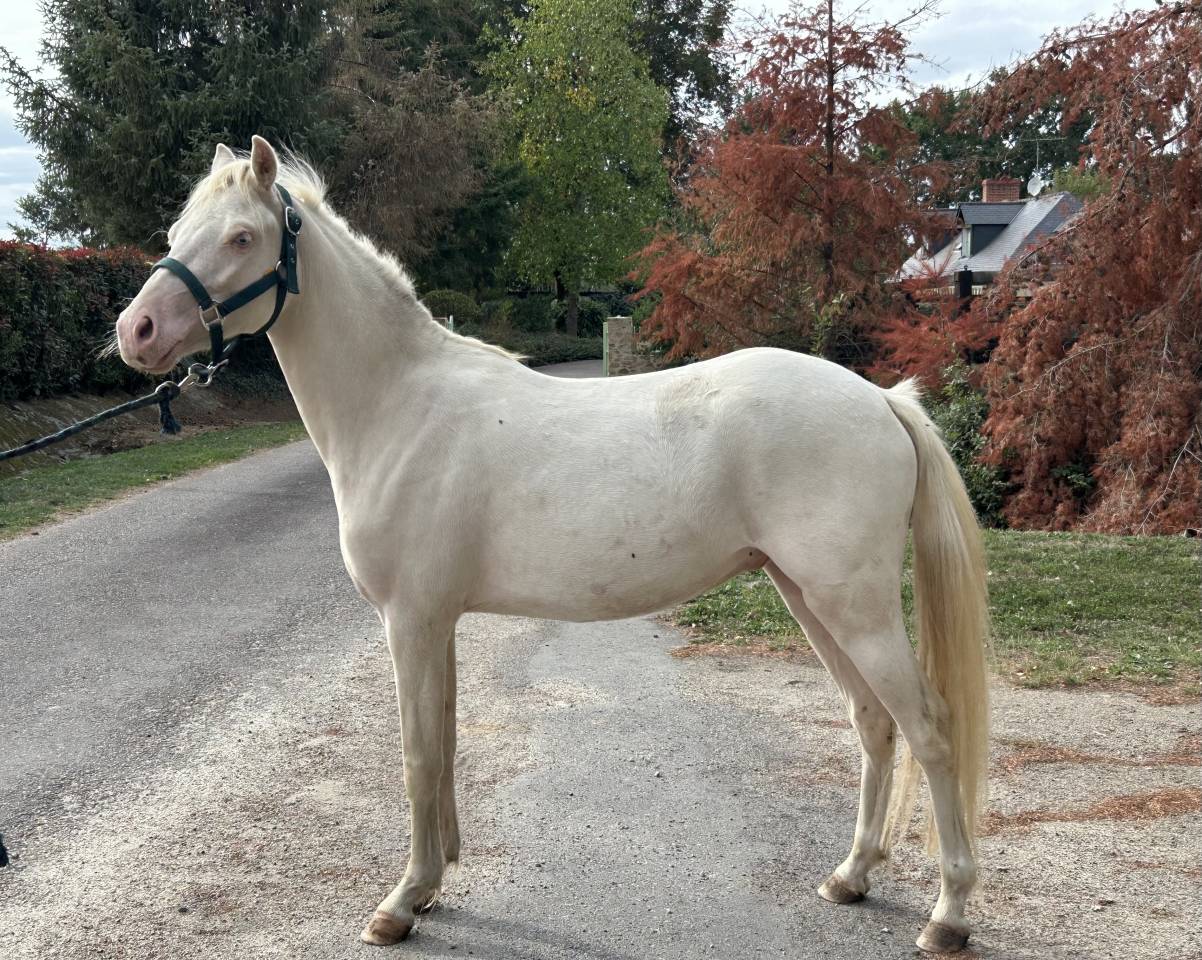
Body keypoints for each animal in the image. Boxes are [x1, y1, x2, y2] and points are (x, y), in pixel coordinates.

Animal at [115, 136, 990, 954]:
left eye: (240, 238)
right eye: (177, 232)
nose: (136, 331)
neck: (401, 406)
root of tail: (880, 399)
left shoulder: (410, 619)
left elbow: (417, 757)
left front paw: (400, 903)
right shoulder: (437, 622)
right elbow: (444, 746)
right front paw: (434, 882)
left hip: (855, 605)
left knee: (930, 729)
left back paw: (947, 914)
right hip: (807, 597)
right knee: (873, 723)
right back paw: (851, 876)